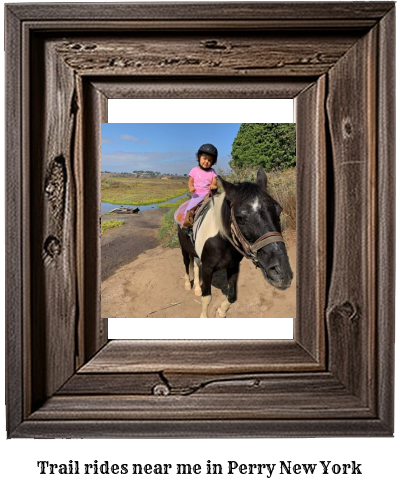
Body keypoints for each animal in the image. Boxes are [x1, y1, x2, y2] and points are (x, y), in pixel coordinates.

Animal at [178, 169, 294, 320]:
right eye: (240, 218)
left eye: (279, 210)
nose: (282, 273)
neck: (223, 242)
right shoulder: (208, 267)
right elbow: (206, 297)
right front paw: (204, 316)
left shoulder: (233, 265)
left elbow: (232, 296)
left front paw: (221, 312)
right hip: (184, 249)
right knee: (187, 264)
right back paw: (188, 284)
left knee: (196, 265)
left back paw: (197, 287)